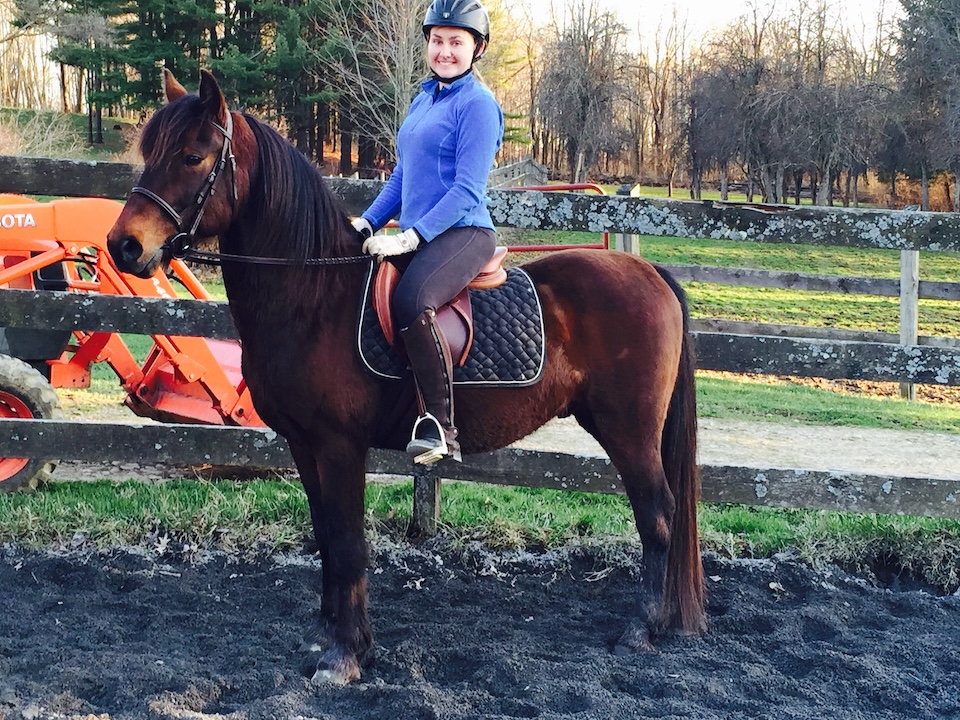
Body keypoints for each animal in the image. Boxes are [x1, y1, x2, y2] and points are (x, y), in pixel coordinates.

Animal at [106, 70, 706, 684]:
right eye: (149, 152)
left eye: (193, 156)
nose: (123, 246)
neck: (313, 295)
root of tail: (649, 271)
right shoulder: (302, 444)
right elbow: (324, 535)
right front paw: (325, 635)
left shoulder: (339, 445)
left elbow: (348, 542)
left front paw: (346, 655)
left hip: (628, 429)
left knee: (658, 516)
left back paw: (641, 629)